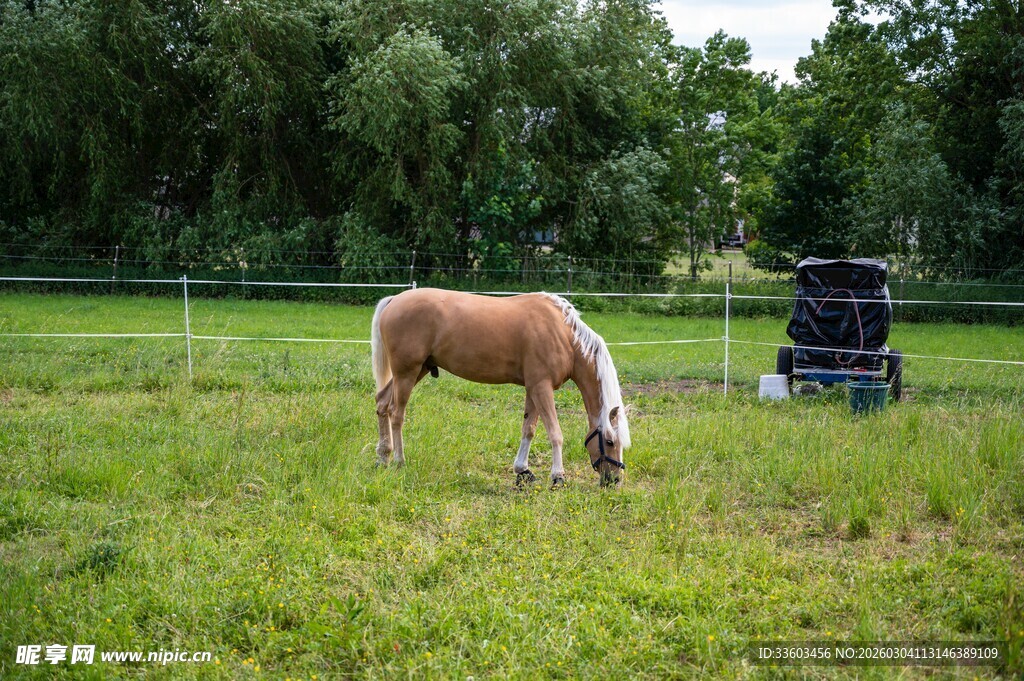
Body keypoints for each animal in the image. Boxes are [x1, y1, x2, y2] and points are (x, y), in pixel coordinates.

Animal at [370, 288, 631, 486]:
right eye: (609, 442)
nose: (614, 480)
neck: (563, 334)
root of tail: (394, 299)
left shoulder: (533, 388)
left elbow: (529, 429)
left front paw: (523, 470)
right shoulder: (542, 387)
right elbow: (555, 432)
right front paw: (557, 476)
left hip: (417, 370)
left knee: (382, 403)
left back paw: (383, 457)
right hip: (407, 372)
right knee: (396, 413)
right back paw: (399, 461)